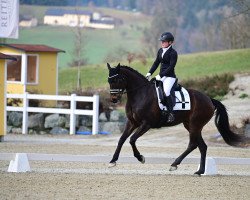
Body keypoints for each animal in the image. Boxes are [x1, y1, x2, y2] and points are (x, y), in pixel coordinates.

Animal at [107, 63, 248, 175]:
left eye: (118, 79)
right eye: (109, 80)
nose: (113, 100)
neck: (140, 94)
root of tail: (209, 99)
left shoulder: (146, 124)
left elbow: (132, 139)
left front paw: (140, 158)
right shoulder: (132, 123)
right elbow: (121, 139)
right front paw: (112, 161)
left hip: (195, 124)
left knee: (192, 144)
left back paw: (174, 164)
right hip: (190, 125)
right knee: (202, 146)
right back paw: (199, 171)